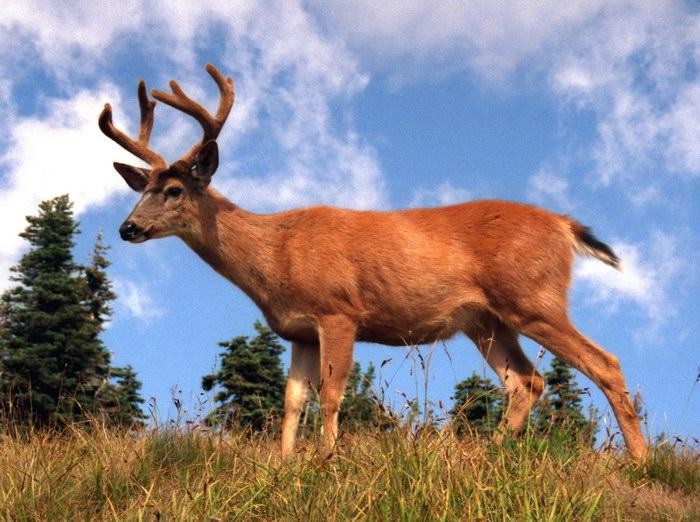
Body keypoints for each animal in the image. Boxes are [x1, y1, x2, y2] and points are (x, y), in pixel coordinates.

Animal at [98, 63, 644, 458]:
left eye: (173, 190)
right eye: (140, 189)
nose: (127, 228)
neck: (276, 256)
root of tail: (563, 225)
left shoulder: (338, 310)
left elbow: (331, 394)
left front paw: (327, 461)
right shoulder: (298, 330)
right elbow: (292, 402)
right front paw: (283, 465)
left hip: (532, 296)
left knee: (605, 362)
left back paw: (639, 460)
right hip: (485, 320)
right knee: (527, 381)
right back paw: (487, 453)